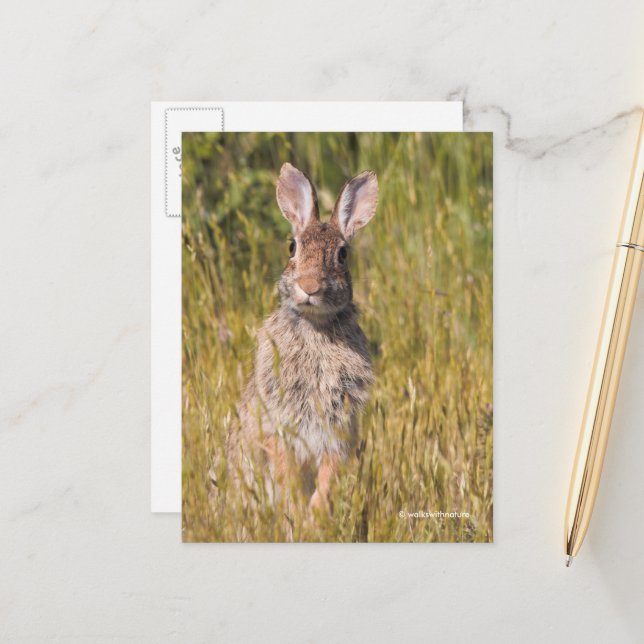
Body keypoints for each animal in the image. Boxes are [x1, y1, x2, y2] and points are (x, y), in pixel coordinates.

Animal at [222, 162, 378, 514]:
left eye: (342, 254)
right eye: (292, 247)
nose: (309, 286)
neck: (315, 326)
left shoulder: (338, 430)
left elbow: (328, 477)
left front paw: (315, 515)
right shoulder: (277, 425)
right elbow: (286, 470)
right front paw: (296, 510)